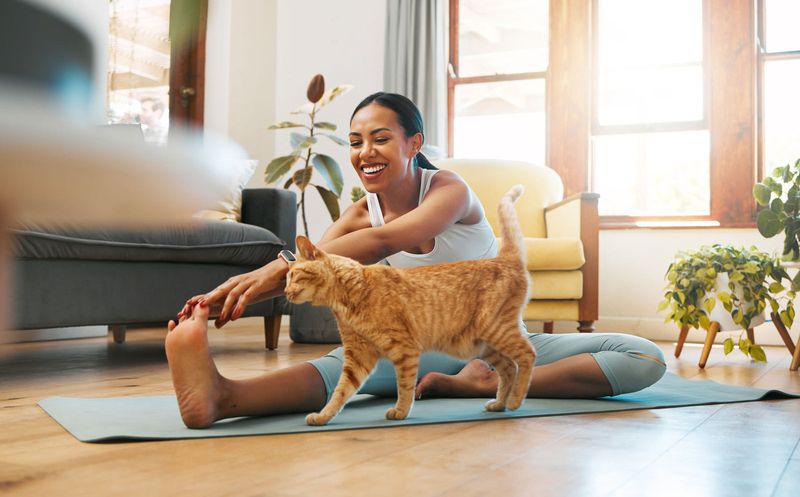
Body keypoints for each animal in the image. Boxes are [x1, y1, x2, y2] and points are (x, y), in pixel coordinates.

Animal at [284, 184, 536, 424]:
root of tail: (505, 258)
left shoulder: (404, 349)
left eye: (293, 276)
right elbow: (341, 391)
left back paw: (515, 401)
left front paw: (401, 411)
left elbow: (404, 387)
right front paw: (323, 416)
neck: (349, 293)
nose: (285, 292)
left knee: (527, 355)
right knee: (509, 367)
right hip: (483, 344)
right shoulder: (358, 356)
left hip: (496, 328)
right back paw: (500, 403)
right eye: (286, 279)